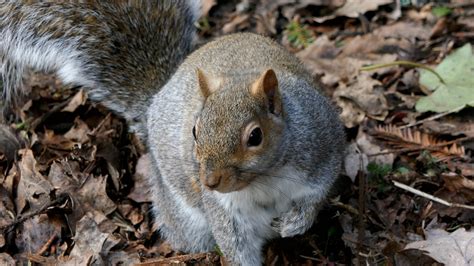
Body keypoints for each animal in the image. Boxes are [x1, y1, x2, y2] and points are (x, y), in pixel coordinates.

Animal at [0, 1, 344, 264]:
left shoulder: (321, 146)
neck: (264, 180)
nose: (210, 181)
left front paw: (294, 223)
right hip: (182, 214)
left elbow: (318, 192)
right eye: (195, 130)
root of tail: (158, 95)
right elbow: (236, 246)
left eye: (255, 137)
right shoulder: (225, 211)